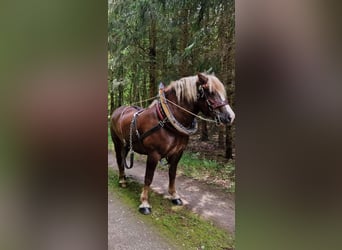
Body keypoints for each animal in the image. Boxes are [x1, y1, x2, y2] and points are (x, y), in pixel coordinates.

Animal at [111, 73, 234, 215]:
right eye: (210, 92)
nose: (230, 116)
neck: (166, 121)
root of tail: (118, 110)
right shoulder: (153, 154)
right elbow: (148, 177)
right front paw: (144, 203)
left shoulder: (177, 153)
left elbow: (172, 174)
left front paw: (174, 196)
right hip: (117, 143)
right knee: (119, 160)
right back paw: (122, 180)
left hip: (126, 145)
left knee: (123, 159)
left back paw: (124, 177)